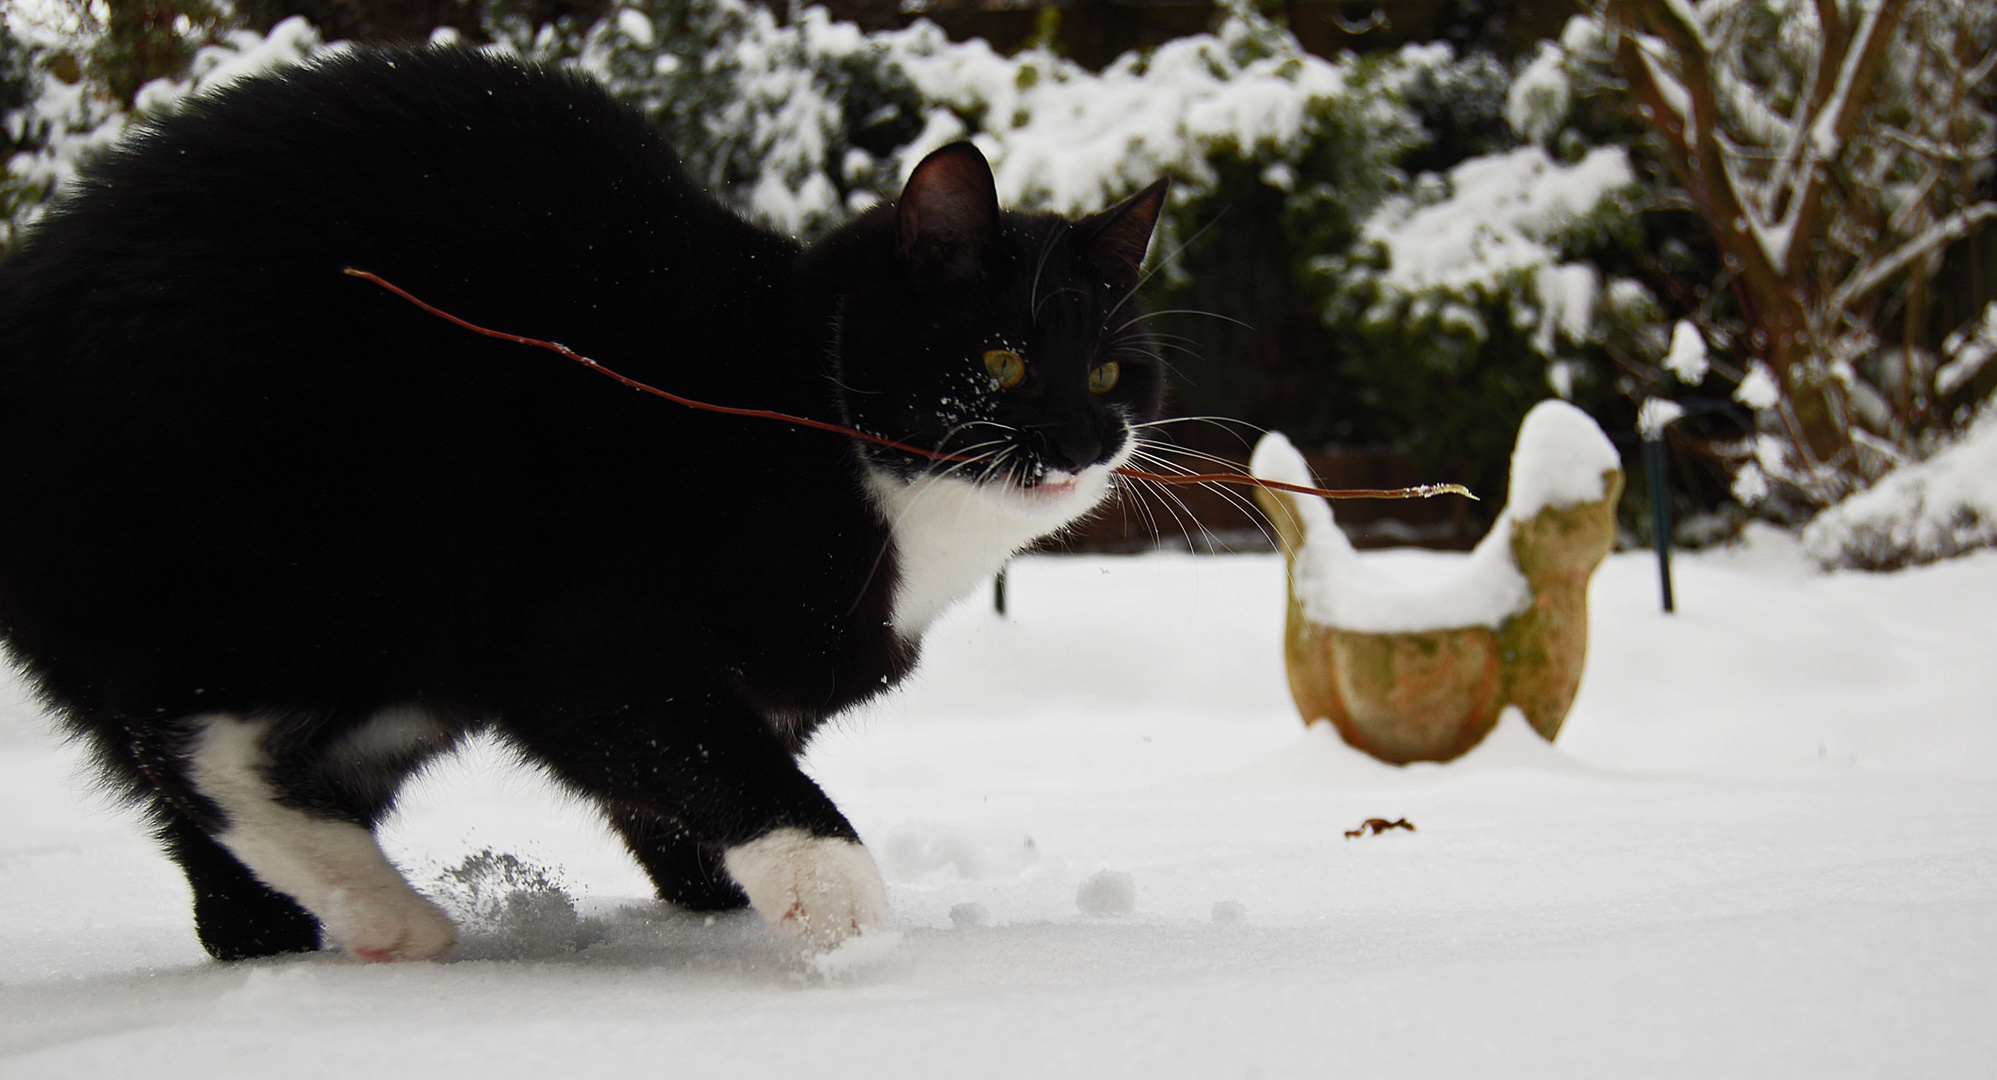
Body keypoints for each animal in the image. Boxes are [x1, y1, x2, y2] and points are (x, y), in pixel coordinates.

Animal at [0, 46, 1166, 958]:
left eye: (1113, 372)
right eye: (1003, 359)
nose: (1085, 439)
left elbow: (675, 784)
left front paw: (718, 899)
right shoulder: (593, 640)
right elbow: (713, 756)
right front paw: (843, 918)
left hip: (396, 658)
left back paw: (293, 928)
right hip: (352, 539)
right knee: (193, 743)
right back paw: (388, 915)